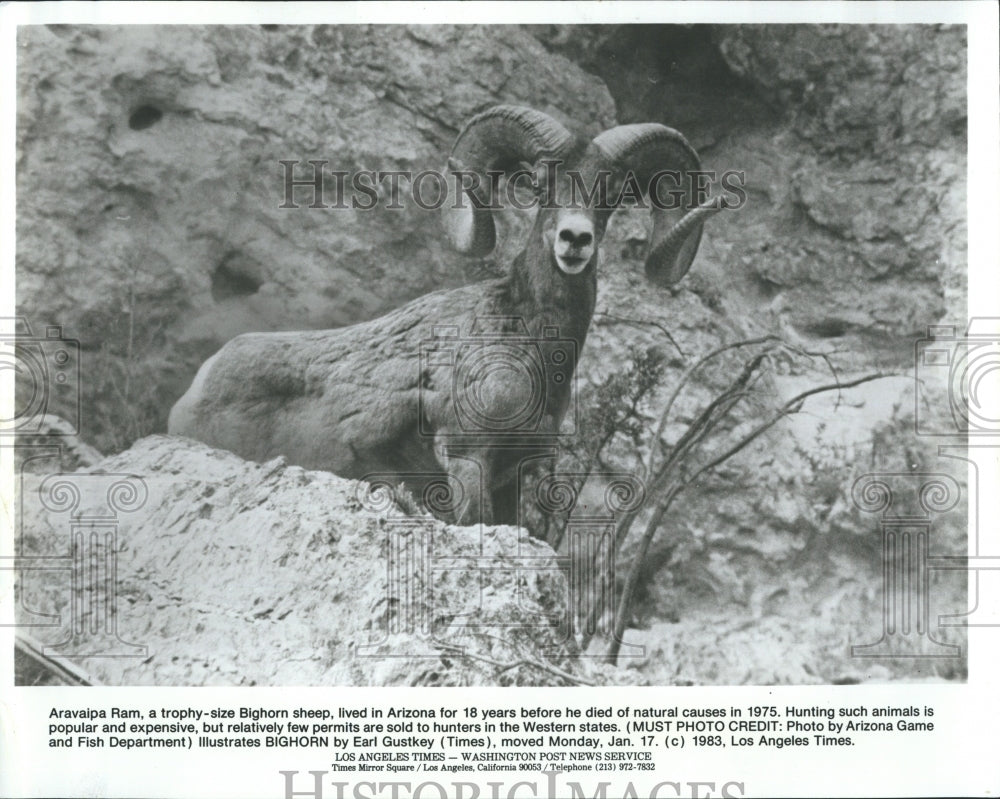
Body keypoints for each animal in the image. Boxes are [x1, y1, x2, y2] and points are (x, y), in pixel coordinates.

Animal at [168, 105, 720, 525]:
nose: (575, 240)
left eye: (613, 194)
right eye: (539, 187)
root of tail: (194, 392)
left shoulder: (522, 470)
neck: (531, 347)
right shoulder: (467, 461)